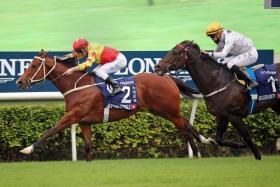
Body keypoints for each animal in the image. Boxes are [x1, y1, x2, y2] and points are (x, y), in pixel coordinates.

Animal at [16, 49, 212, 161]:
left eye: (34, 65)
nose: (20, 81)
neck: (76, 85)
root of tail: (167, 77)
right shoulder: (84, 122)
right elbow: (88, 147)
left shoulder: (72, 115)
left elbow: (51, 130)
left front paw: (27, 149)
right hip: (162, 111)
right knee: (186, 124)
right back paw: (203, 141)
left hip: (169, 111)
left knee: (185, 128)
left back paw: (197, 153)